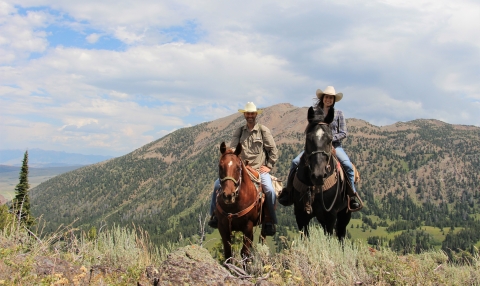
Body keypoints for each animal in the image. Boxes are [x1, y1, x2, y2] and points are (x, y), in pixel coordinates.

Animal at [292, 106, 352, 239]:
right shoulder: (301, 216)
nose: (318, 175)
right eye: (308, 138)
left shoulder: (330, 216)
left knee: (341, 235)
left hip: (345, 213)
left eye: (330, 139)